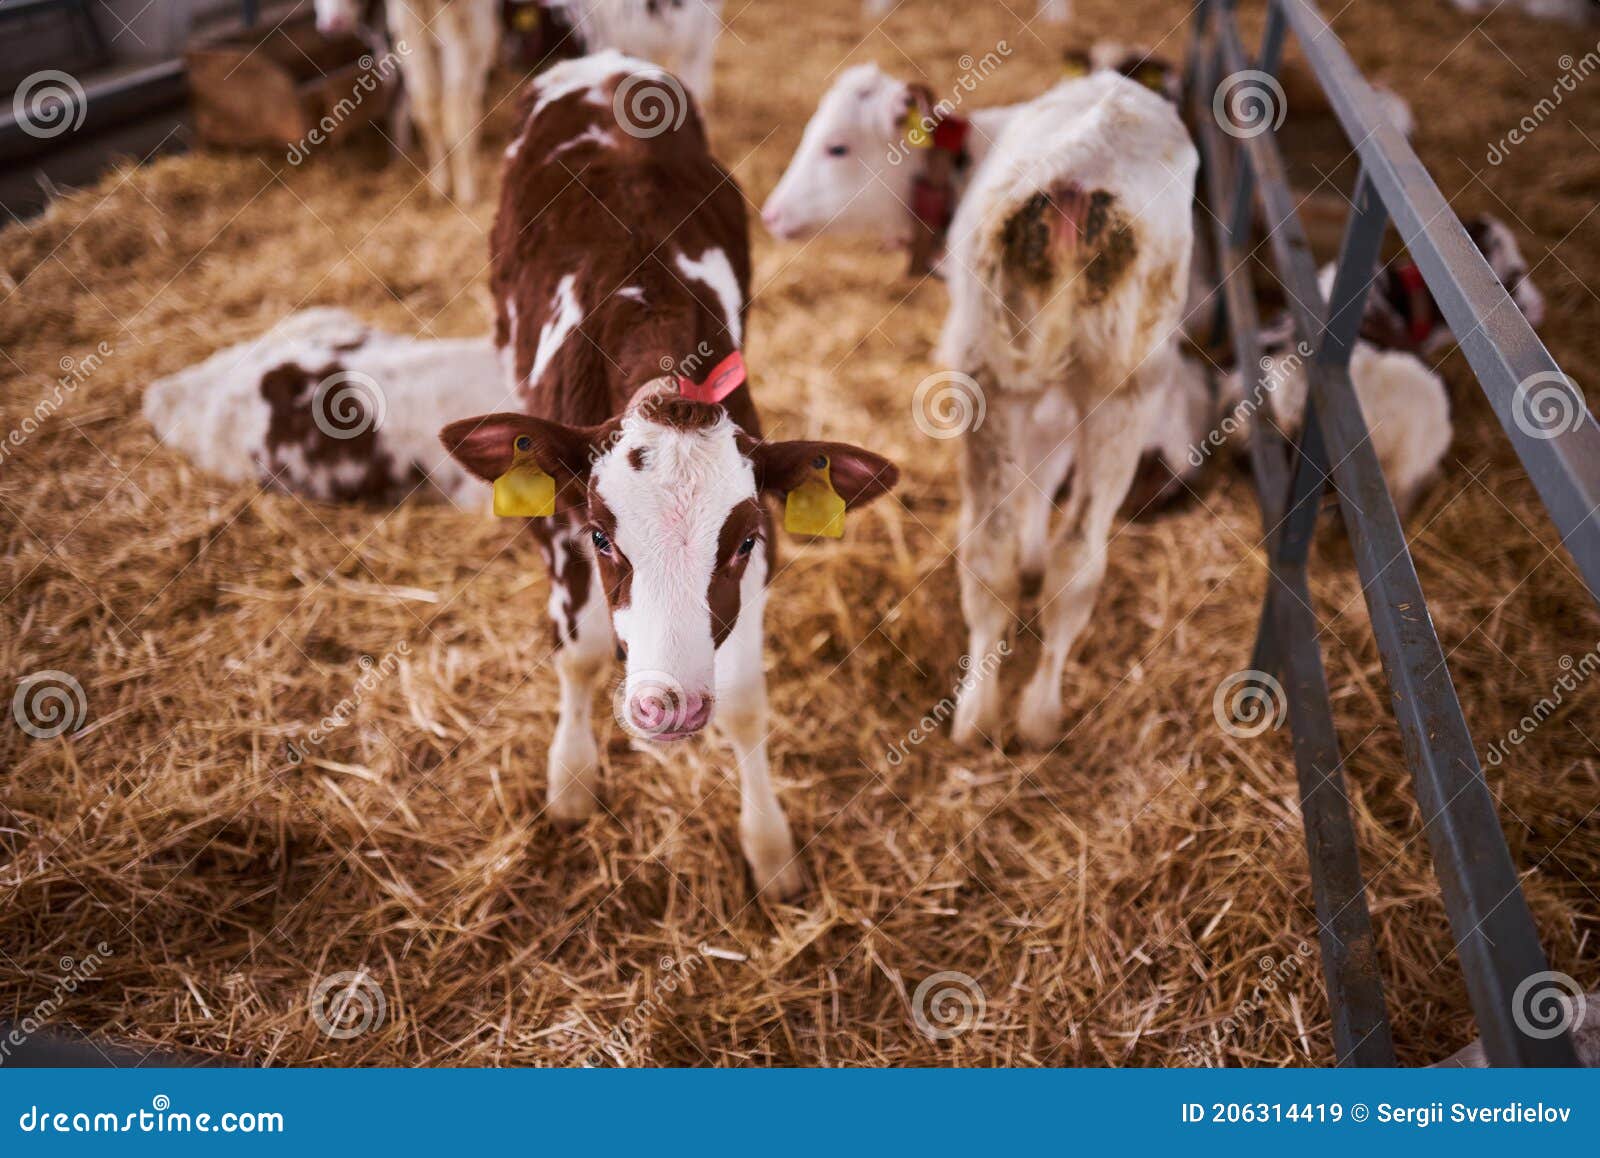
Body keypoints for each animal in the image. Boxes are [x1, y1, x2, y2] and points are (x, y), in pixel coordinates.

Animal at [444, 49, 896, 895]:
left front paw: (769, 847)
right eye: (603, 537)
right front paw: (571, 778)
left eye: (742, 543)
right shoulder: (556, 524)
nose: (670, 706)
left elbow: (747, 700)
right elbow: (581, 654)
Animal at [764, 63, 1203, 745]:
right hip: (1126, 381)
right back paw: (1041, 715)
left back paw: (975, 714)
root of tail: (1077, 176)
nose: (771, 214)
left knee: (987, 554)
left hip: (988, 372)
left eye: (836, 147)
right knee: (1078, 561)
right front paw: (1036, 555)